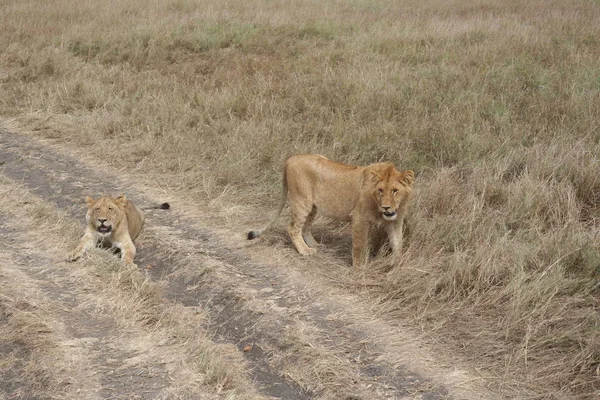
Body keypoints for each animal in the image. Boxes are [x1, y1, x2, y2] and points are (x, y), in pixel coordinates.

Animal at [247, 155, 412, 268]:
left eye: (395, 191)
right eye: (380, 190)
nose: (386, 207)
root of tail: (291, 158)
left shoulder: (395, 221)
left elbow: (398, 243)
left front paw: (398, 265)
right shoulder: (359, 218)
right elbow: (360, 246)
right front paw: (359, 268)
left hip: (313, 207)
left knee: (305, 228)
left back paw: (315, 245)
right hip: (302, 201)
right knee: (293, 228)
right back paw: (304, 250)